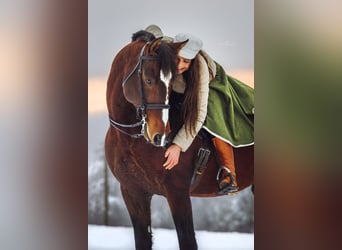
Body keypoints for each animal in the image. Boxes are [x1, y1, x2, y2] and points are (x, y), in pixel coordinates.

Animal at [105, 33, 254, 250]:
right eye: (148, 80)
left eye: (170, 83)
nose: (160, 136)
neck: (130, 140)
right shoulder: (133, 193)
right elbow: (143, 240)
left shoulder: (177, 193)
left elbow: (187, 241)